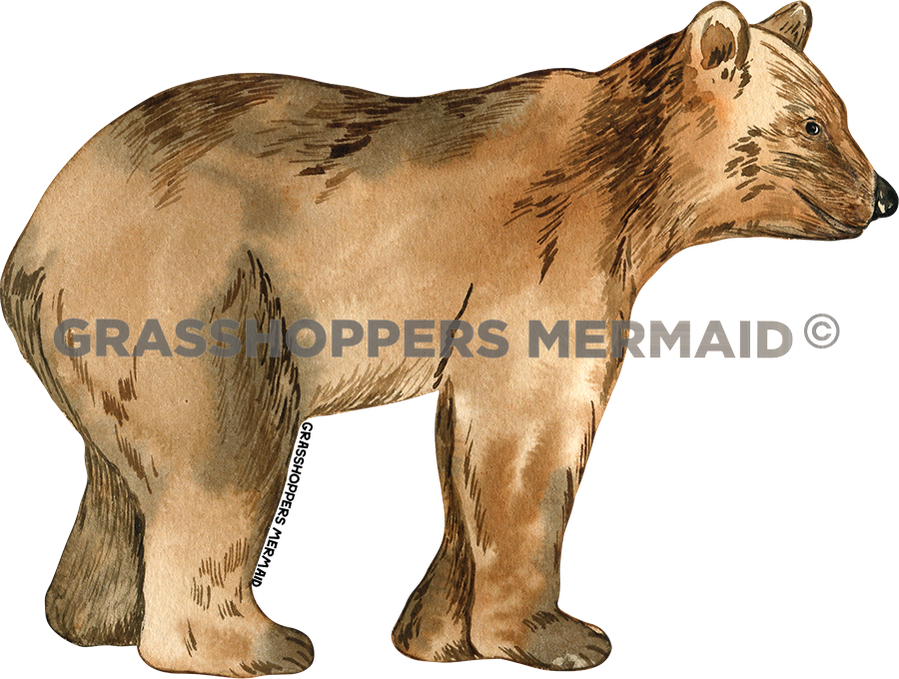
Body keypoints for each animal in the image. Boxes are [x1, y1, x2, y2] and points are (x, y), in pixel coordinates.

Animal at [1, 0, 895, 675]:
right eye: (812, 126)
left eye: (843, 112)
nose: (883, 195)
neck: (632, 183)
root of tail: (33, 244)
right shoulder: (546, 256)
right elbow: (530, 432)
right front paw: (560, 636)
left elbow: (464, 441)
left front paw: (434, 637)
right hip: (199, 288)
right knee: (226, 451)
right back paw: (254, 645)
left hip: (106, 335)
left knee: (118, 474)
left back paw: (92, 620)